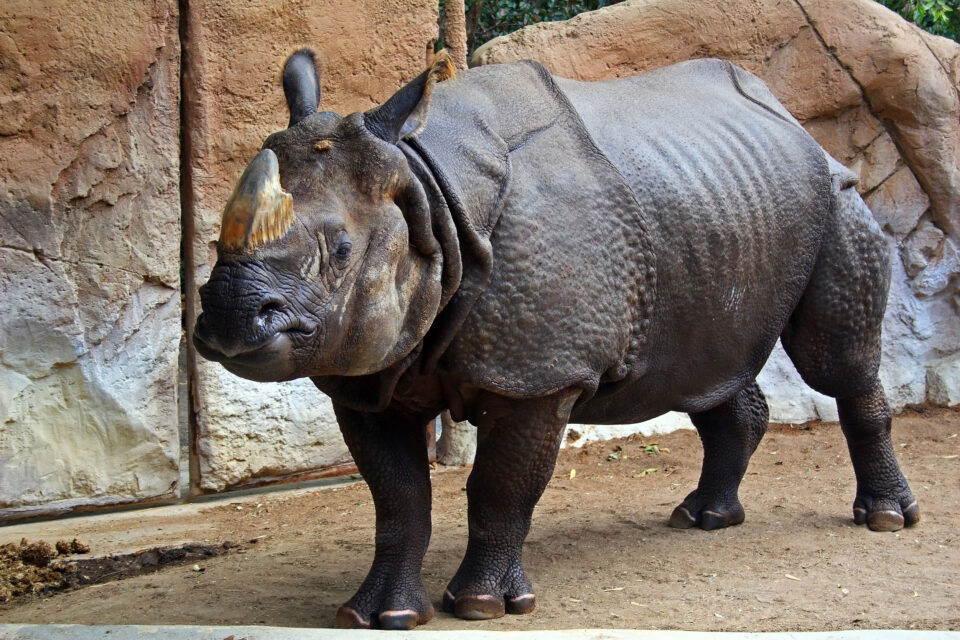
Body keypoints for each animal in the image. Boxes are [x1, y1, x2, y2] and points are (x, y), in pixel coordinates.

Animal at [193, 49, 919, 629]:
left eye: (341, 252)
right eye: (213, 244)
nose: (229, 321)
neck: (427, 190)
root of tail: (796, 123)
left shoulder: (541, 375)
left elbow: (500, 487)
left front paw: (481, 607)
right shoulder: (369, 372)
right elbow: (397, 499)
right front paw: (377, 616)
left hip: (834, 196)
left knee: (834, 365)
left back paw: (884, 519)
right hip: (721, 203)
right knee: (707, 369)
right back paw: (704, 519)